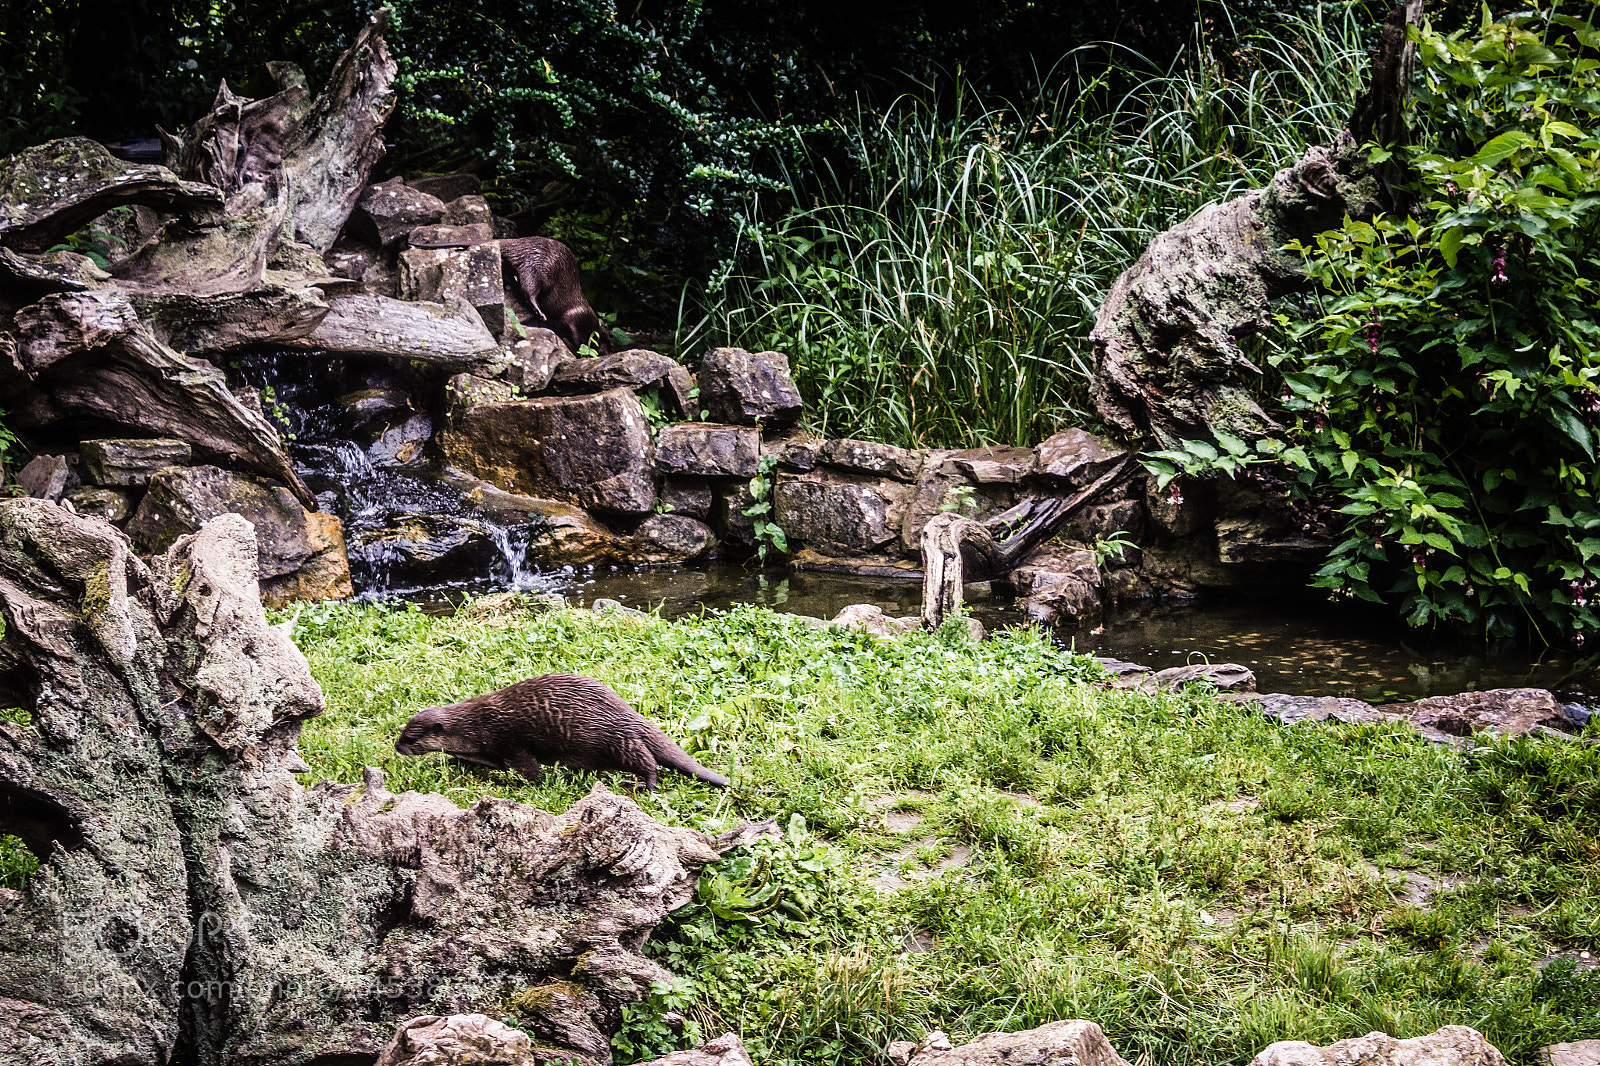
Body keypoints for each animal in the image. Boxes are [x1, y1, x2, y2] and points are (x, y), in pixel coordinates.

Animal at [394, 673, 728, 790]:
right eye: (402, 731)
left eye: (411, 738)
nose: (398, 747)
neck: (474, 727)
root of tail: (630, 715)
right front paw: (454, 761)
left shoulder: (508, 741)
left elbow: (527, 770)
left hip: (614, 740)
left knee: (647, 762)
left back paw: (646, 786)